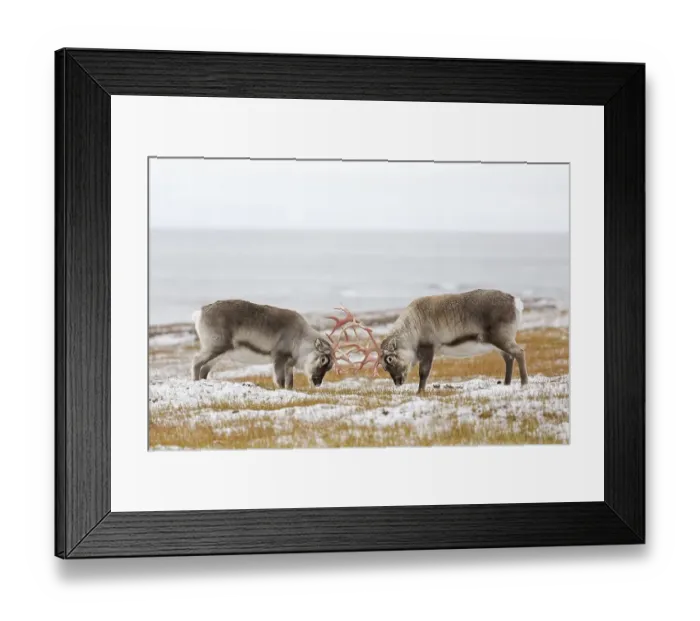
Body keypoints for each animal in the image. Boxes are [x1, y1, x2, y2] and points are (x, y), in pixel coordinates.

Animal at [191, 300, 334, 388]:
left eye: (329, 367)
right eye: (323, 360)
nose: (317, 383)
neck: (300, 337)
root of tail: (200, 312)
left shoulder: (288, 364)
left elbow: (290, 383)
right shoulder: (279, 357)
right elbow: (280, 380)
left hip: (218, 355)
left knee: (204, 369)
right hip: (214, 347)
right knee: (196, 361)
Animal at [373, 290, 528, 394]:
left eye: (390, 359)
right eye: (384, 368)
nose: (398, 382)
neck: (411, 330)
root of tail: (515, 302)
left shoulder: (428, 349)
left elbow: (423, 373)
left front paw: (420, 392)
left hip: (502, 338)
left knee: (519, 352)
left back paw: (524, 383)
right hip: (497, 343)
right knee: (509, 358)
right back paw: (506, 384)